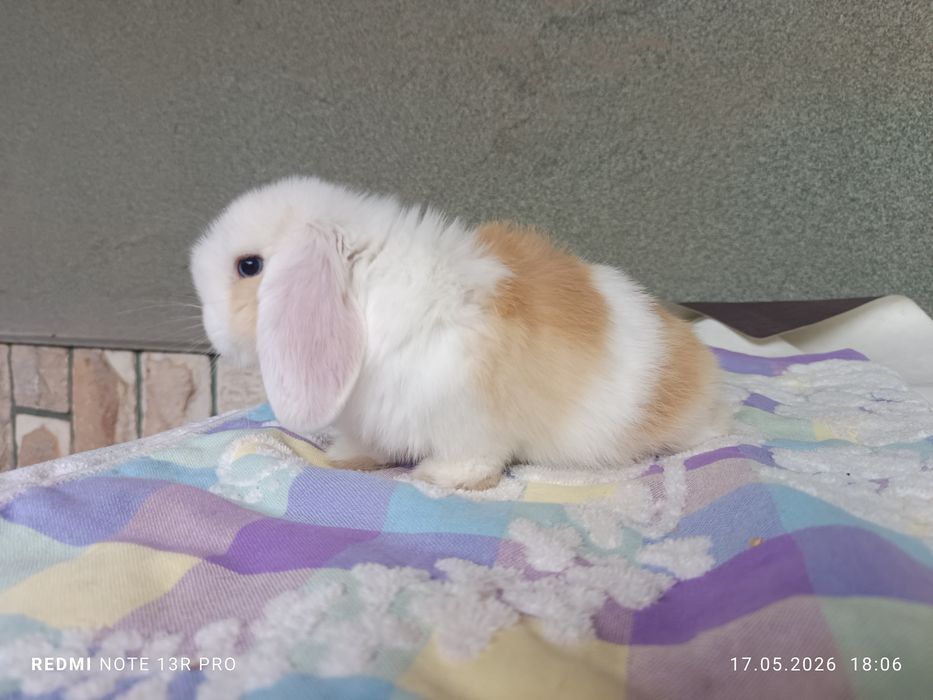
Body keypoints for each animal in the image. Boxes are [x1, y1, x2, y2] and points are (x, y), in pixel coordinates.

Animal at [190, 176, 729, 490]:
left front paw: (439, 478)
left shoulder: (465, 415)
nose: (212, 333)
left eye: (249, 266)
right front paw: (345, 457)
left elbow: (471, 458)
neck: (365, 287)